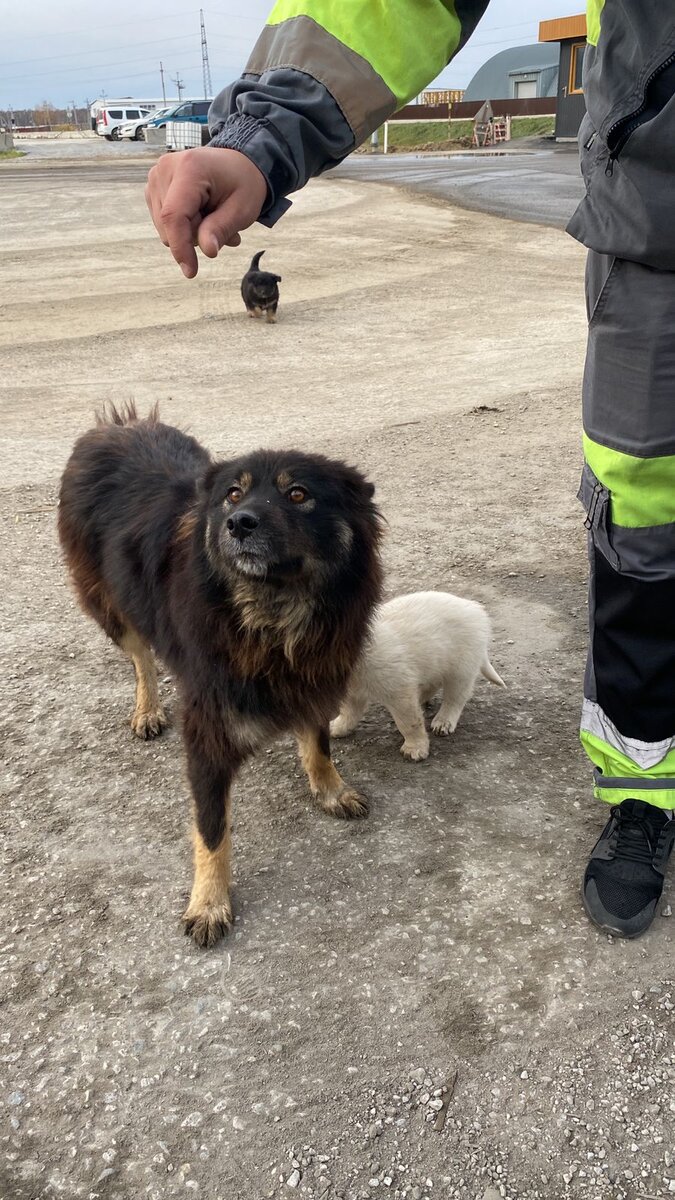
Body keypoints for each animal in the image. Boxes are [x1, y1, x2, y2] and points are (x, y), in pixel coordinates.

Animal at [58, 403, 381, 945]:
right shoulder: (208, 733)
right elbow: (212, 830)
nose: (239, 523)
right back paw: (147, 709)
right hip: (110, 604)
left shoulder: (312, 677)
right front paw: (209, 902)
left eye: (299, 494)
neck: (271, 617)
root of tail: (115, 425)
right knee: (141, 658)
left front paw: (330, 789)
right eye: (234, 493)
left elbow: (317, 743)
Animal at [329, 590, 502, 758]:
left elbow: (408, 721)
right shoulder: (351, 690)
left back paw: (443, 721)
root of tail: (474, 608)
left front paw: (415, 749)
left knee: (456, 696)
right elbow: (348, 711)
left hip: (462, 665)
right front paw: (338, 727)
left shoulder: (397, 688)